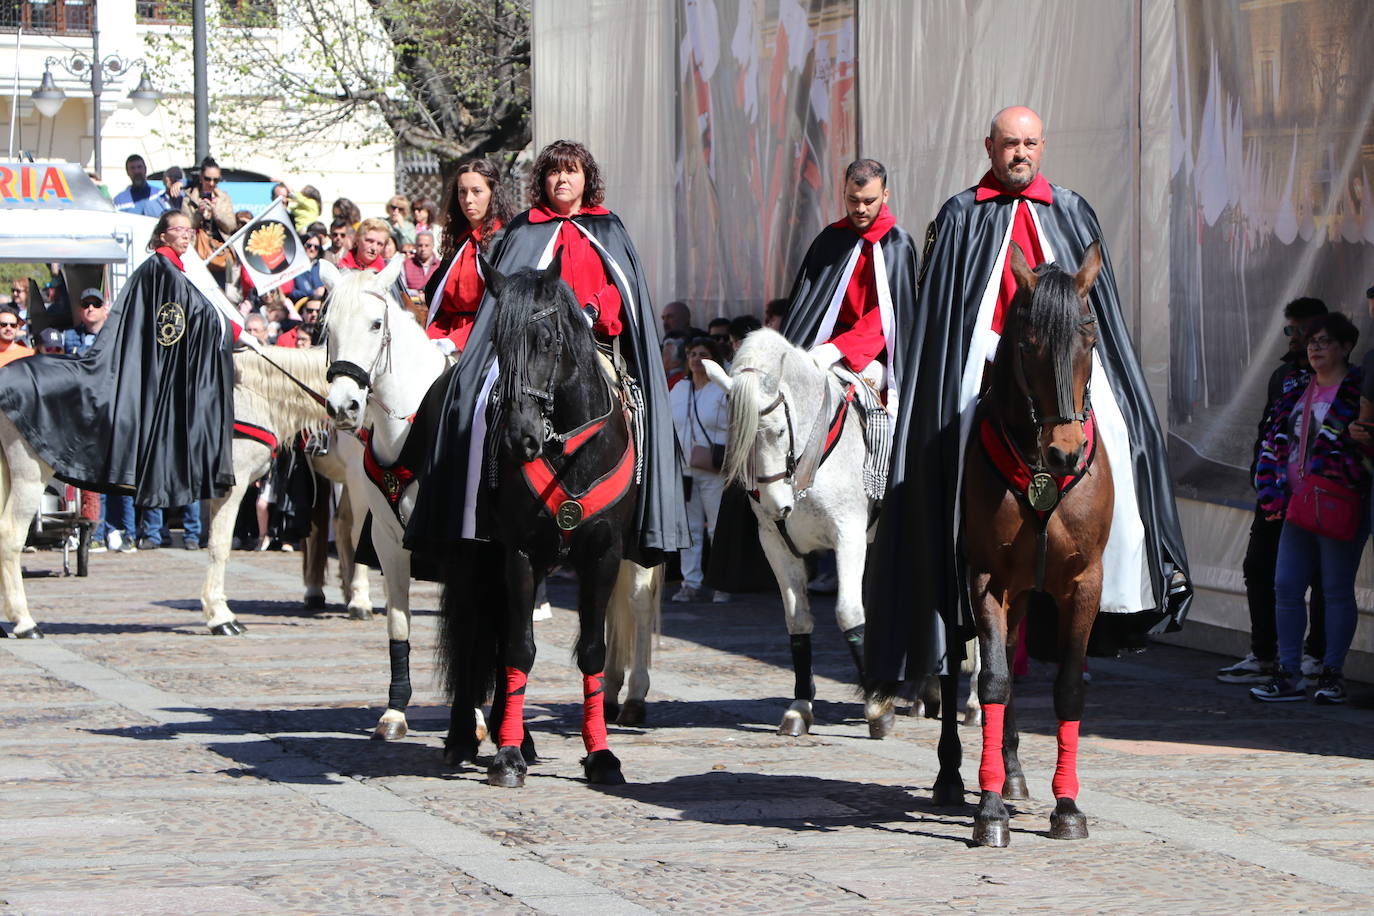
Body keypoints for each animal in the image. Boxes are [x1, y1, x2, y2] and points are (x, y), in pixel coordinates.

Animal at [436, 252, 634, 791]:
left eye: (546, 341)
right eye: (498, 344)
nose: (519, 438)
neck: (570, 450)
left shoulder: (604, 555)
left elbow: (592, 651)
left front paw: (600, 754)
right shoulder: (518, 552)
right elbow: (518, 650)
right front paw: (505, 756)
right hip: (476, 558)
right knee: (477, 630)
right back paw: (466, 737)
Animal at [708, 329, 901, 736]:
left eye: (779, 430)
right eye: (738, 435)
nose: (775, 505)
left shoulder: (849, 536)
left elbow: (848, 613)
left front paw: (878, 707)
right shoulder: (776, 543)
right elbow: (797, 620)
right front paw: (799, 707)